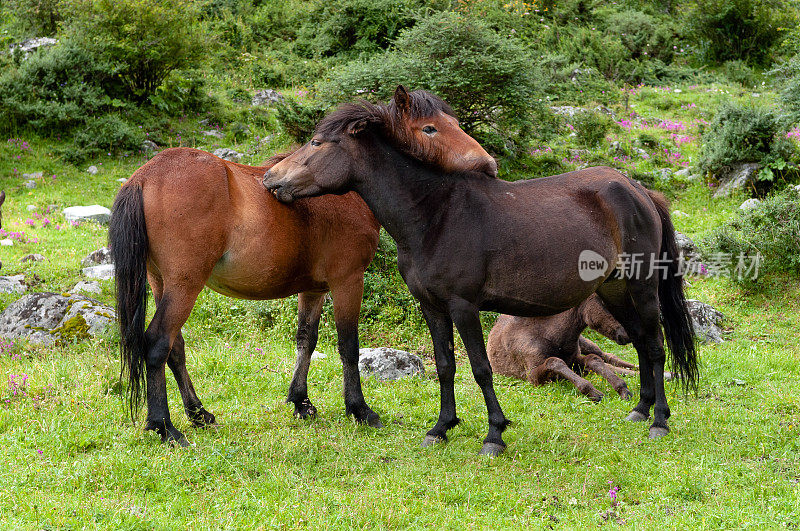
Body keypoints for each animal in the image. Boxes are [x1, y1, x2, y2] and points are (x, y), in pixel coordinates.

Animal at [105, 86, 494, 444]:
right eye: (430, 128)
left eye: (456, 123)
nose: (489, 165)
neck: (345, 190)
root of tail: (144, 176)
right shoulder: (347, 280)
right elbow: (348, 346)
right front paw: (360, 409)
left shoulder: (313, 289)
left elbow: (306, 339)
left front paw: (301, 402)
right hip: (185, 285)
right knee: (157, 343)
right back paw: (164, 426)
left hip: (161, 283)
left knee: (175, 349)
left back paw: (199, 413)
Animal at [488, 296, 636, 404]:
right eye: (604, 303)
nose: (629, 334)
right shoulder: (533, 376)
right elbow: (555, 361)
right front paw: (594, 393)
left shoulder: (575, 359)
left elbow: (594, 359)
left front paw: (623, 389)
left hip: (586, 344)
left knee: (609, 357)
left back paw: (636, 370)